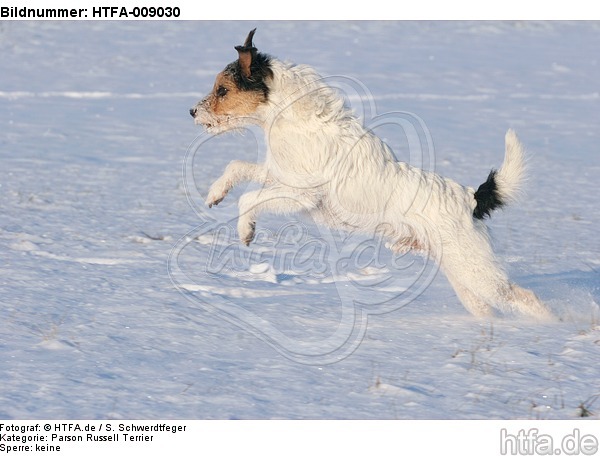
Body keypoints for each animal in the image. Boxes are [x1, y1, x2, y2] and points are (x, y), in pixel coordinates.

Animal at [190, 28, 556, 320]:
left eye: (222, 90)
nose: (192, 111)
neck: (292, 117)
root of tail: (472, 199)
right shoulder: (278, 174)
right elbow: (237, 167)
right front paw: (215, 193)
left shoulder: (299, 194)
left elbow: (250, 199)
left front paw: (245, 231)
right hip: (463, 277)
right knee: (488, 308)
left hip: (477, 272)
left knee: (524, 298)